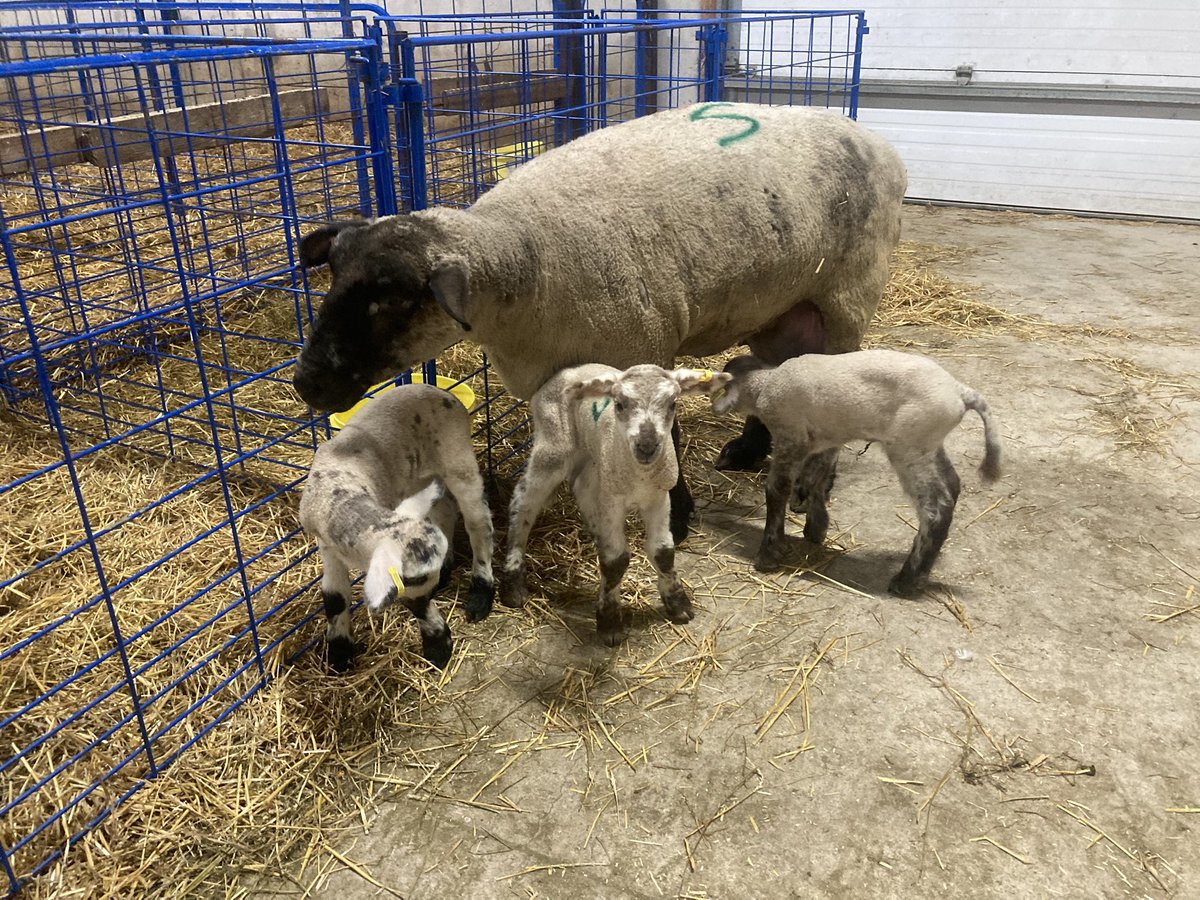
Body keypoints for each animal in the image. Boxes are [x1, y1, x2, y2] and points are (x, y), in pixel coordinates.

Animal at [292, 101, 907, 544]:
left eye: (393, 300)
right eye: (333, 275)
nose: (307, 382)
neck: (526, 255)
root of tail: (878, 142)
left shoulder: (644, 348)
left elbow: (665, 439)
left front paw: (675, 519)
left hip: (848, 295)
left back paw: (814, 482)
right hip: (780, 303)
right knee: (782, 372)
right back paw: (748, 452)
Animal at [298, 384, 495, 671]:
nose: (444, 636)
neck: (343, 497)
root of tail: (442, 392)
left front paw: (438, 648)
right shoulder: (327, 547)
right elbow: (335, 598)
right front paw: (340, 655)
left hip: (456, 457)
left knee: (478, 524)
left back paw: (481, 592)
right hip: (419, 479)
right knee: (445, 510)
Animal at [502, 363, 732, 645]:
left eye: (673, 403)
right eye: (619, 404)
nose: (647, 446)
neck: (639, 476)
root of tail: (567, 371)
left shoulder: (658, 497)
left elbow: (663, 552)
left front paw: (678, 603)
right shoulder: (612, 500)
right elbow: (616, 561)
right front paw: (609, 621)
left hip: (594, 460)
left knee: (581, 487)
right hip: (554, 445)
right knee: (523, 500)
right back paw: (513, 584)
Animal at [711, 351, 1002, 596]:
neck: (766, 382)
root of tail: (961, 392)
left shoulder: (789, 437)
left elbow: (776, 490)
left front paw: (768, 554)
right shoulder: (827, 440)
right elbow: (816, 480)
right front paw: (815, 529)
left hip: (909, 447)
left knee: (936, 506)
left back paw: (907, 581)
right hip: (930, 445)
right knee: (953, 484)